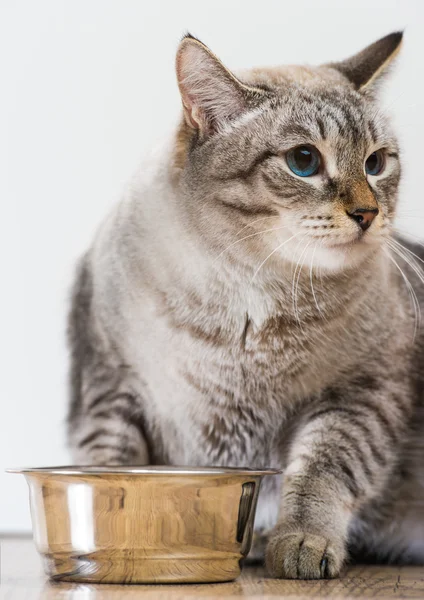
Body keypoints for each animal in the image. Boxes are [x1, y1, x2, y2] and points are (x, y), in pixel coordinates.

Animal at [68, 30, 422, 580]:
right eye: (304, 161)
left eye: (376, 162)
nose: (368, 214)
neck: (248, 291)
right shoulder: (110, 388)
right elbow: (112, 478)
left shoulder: (361, 394)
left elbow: (321, 474)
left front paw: (301, 544)